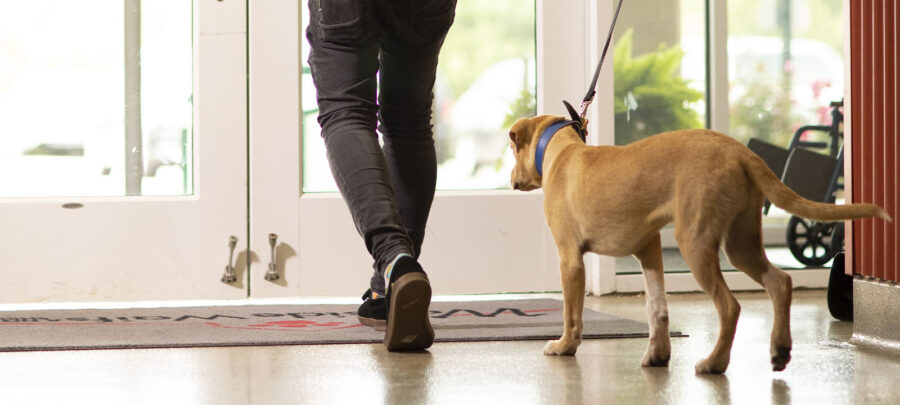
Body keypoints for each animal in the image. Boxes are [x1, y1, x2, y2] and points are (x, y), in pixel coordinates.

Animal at [510, 113, 888, 372]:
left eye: (513, 149)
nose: (511, 179)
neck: (562, 151)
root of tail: (740, 152)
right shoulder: (648, 249)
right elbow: (657, 307)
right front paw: (658, 354)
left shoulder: (570, 258)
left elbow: (570, 311)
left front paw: (564, 346)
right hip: (741, 243)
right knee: (780, 281)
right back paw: (779, 349)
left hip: (695, 241)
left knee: (730, 306)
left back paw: (714, 363)